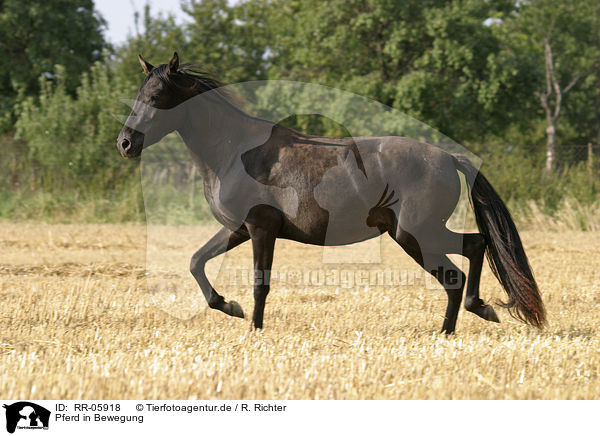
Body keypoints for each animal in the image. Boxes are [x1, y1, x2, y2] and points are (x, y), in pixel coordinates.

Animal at [116, 54, 544, 334]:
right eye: (138, 93)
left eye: (156, 97)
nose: (125, 143)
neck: (235, 152)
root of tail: (448, 157)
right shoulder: (238, 228)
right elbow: (196, 261)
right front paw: (229, 307)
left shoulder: (260, 228)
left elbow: (260, 282)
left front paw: (253, 328)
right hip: (420, 233)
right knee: (470, 252)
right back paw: (465, 319)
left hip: (415, 234)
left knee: (462, 264)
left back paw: (462, 321)